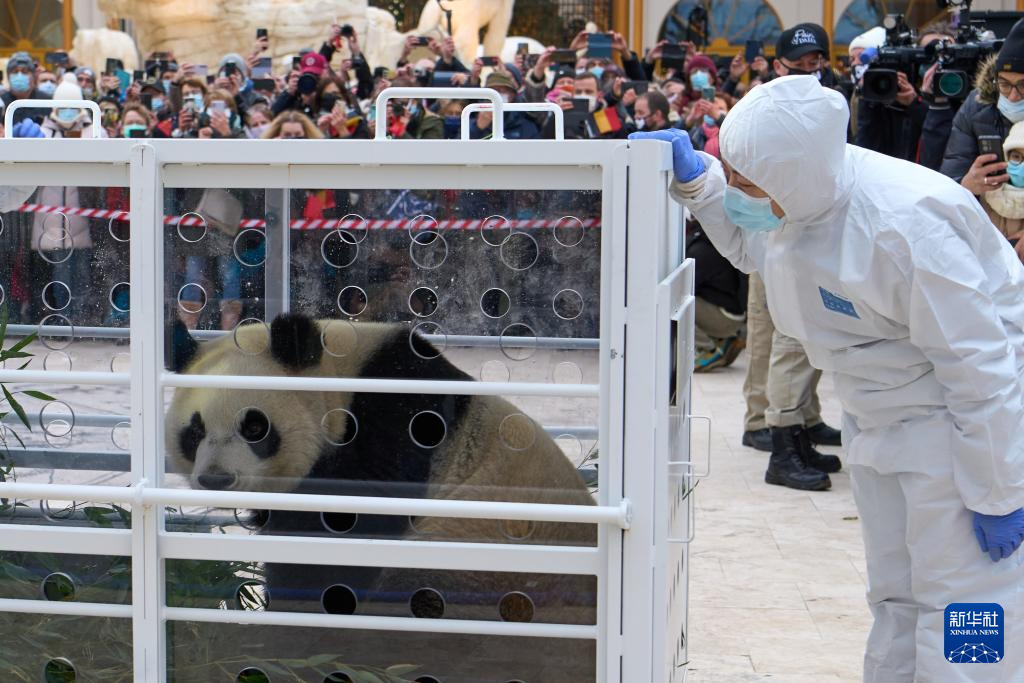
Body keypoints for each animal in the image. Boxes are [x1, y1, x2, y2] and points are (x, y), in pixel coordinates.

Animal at [163, 313, 598, 626]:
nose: (216, 479)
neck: (342, 379)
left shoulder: (394, 425)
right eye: (194, 431)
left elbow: (336, 546)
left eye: (254, 427)